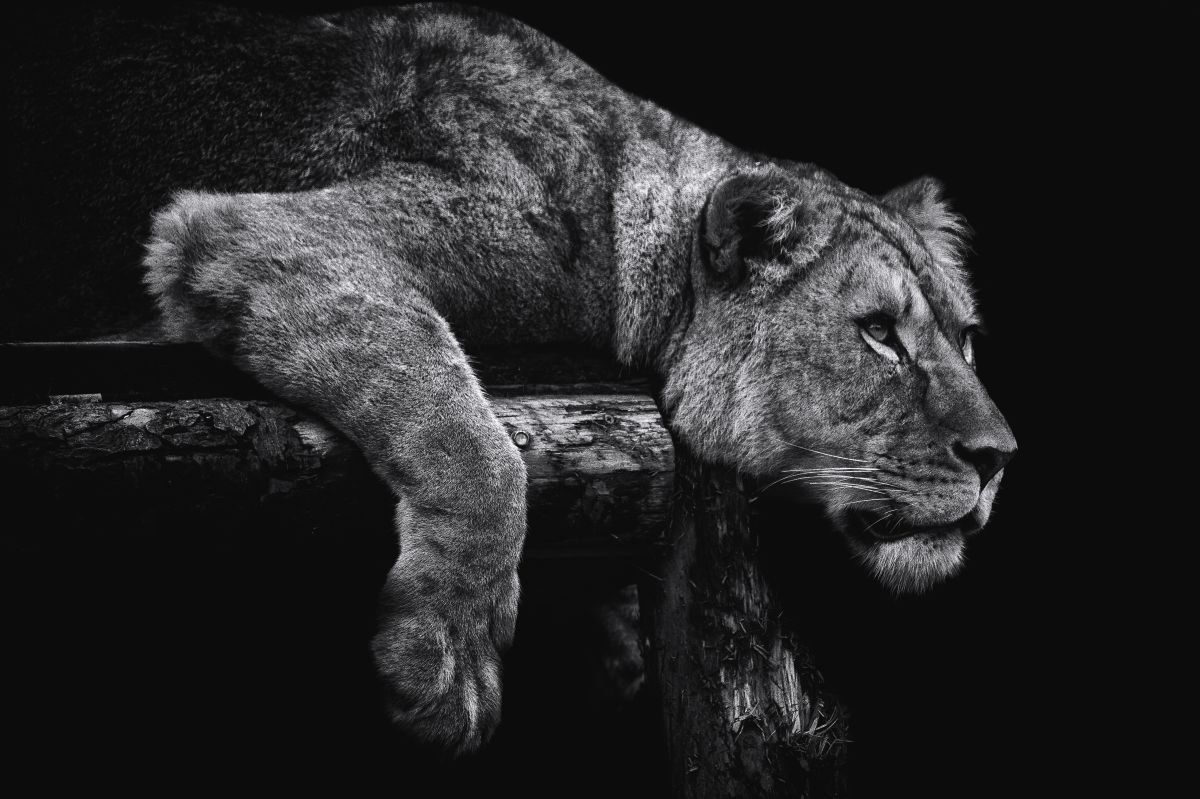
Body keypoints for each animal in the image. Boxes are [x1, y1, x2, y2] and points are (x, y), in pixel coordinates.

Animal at [12, 5, 1016, 753]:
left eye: (967, 339)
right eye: (879, 335)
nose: (999, 456)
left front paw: (608, 637)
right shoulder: (263, 235)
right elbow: (470, 440)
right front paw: (446, 652)